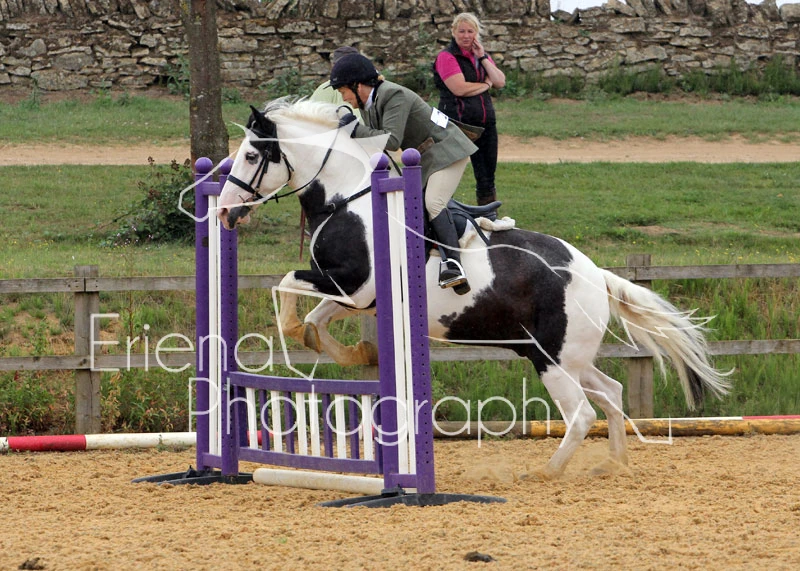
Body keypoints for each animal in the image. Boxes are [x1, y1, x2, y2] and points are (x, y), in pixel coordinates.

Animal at [216, 98, 732, 480]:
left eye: (250, 155)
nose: (222, 211)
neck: (348, 197)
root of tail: (595, 274)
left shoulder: (355, 286)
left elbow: (288, 287)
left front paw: (305, 337)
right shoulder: (357, 296)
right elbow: (314, 318)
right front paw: (353, 353)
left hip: (551, 358)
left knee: (583, 414)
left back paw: (545, 472)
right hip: (566, 355)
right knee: (611, 392)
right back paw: (615, 464)